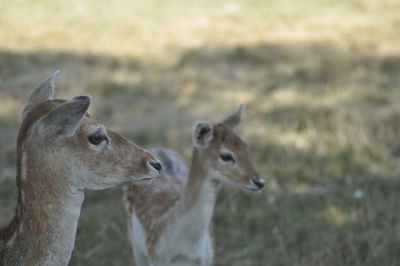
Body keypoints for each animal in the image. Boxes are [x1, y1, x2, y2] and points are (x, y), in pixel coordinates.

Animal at [123, 104, 264, 266]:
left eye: (247, 147)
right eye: (226, 156)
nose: (259, 182)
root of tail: (158, 148)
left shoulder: (208, 258)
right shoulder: (155, 256)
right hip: (135, 243)